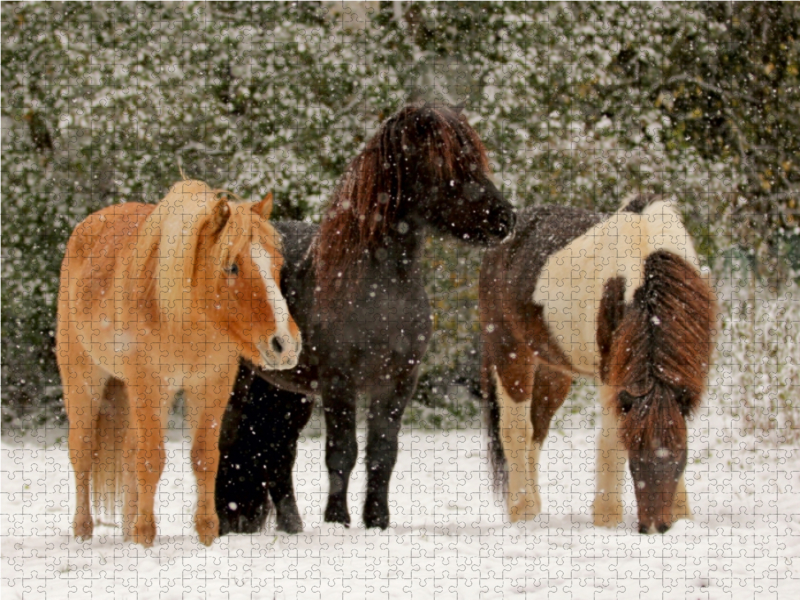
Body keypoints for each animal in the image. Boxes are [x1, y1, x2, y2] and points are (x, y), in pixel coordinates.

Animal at [55, 180, 300, 548]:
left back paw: (126, 531)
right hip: (84, 381)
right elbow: (151, 458)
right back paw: (84, 532)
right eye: (231, 266)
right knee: (83, 452)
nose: (286, 344)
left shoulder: (211, 386)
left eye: (277, 263)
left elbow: (204, 457)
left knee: (127, 451)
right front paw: (146, 537)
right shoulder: (150, 385)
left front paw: (206, 534)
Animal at [216, 103, 516, 536]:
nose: (506, 219)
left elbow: (382, 452)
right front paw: (338, 521)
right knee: (226, 444)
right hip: (240, 383)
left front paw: (376, 520)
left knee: (277, 456)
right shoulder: (339, 382)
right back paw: (224, 525)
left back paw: (293, 528)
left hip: (286, 392)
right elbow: (342, 452)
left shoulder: (397, 382)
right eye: (443, 162)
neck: (380, 292)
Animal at [482, 196, 720, 536]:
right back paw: (522, 511)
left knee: (536, 430)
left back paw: (535, 509)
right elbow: (610, 441)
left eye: (680, 459)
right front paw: (607, 516)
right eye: (635, 458)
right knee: (515, 430)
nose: (654, 528)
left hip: (554, 371)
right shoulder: (612, 374)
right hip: (510, 351)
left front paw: (681, 514)